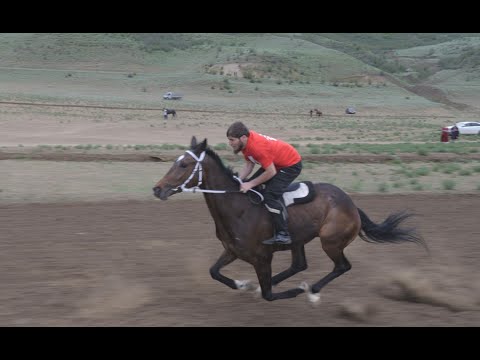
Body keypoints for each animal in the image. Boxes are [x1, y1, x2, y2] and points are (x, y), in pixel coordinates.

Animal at [152, 136, 426, 302]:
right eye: (176, 162)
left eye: (184, 165)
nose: (157, 189)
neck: (236, 207)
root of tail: (351, 204)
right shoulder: (232, 250)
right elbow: (214, 272)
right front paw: (243, 284)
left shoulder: (263, 258)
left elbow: (269, 295)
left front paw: (293, 290)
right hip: (299, 240)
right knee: (299, 265)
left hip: (331, 241)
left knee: (342, 266)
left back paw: (311, 290)